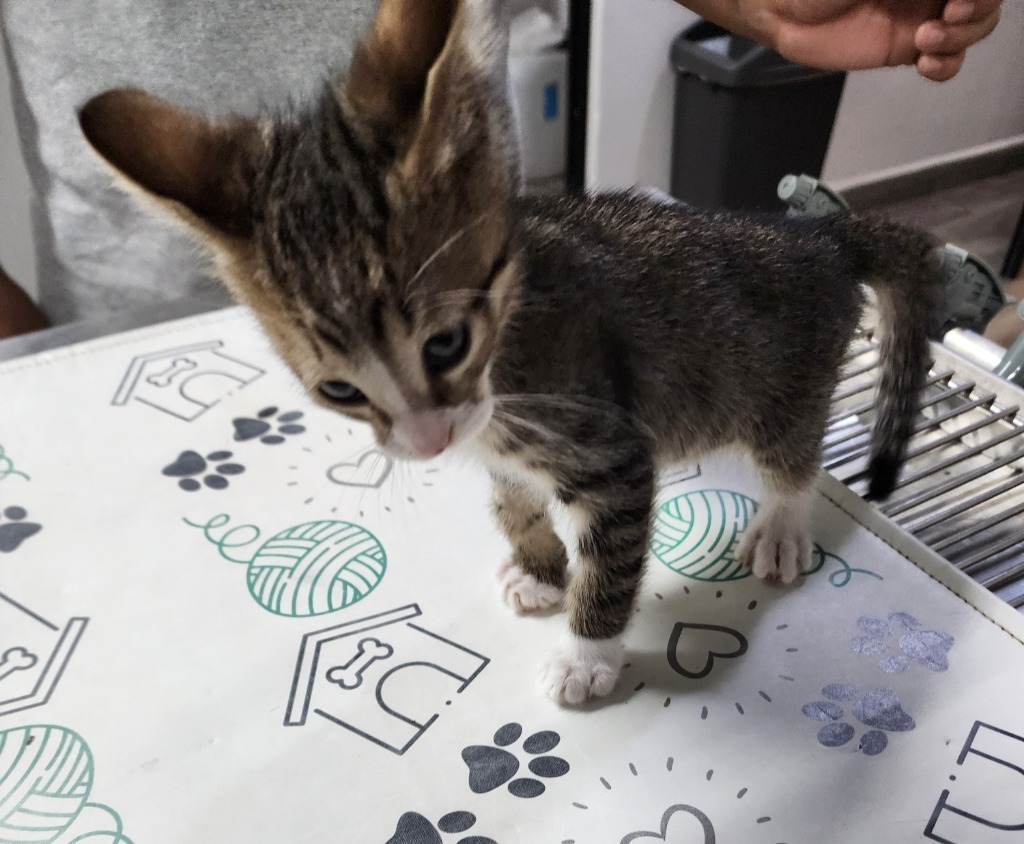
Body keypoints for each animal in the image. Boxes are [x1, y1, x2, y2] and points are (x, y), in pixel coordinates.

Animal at [81, 0, 942, 704]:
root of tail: (822, 235)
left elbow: (611, 557)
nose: (428, 442)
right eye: (339, 391)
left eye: (446, 343)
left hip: (785, 388)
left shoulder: (612, 449)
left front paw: (586, 655)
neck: (507, 358)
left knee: (793, 459)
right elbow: (509, 499)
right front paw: (537, 567)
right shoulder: (497, 445)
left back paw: (780, 528)